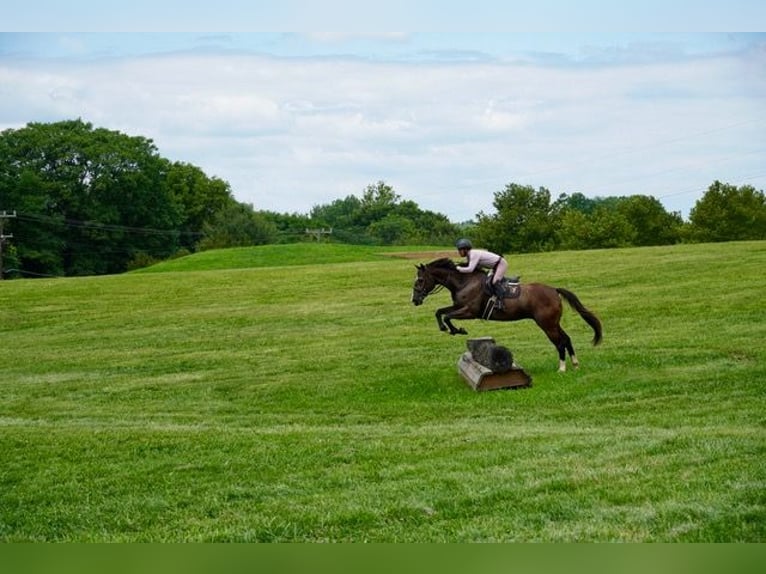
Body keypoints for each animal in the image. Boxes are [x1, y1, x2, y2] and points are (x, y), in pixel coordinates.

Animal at [411, 258, 602, 372]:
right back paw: (575, 364)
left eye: (420, 280)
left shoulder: (469, 311)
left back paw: (562, 368)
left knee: (560, 342)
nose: (414, 300)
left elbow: (447, 316)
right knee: (566, 338)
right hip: (553, 323)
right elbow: (440, 312)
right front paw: (448, 329)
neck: (464, 282)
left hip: (546, 324)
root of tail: (554, 290)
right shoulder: (458, 306)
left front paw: (456, 330)